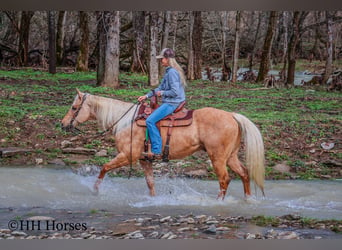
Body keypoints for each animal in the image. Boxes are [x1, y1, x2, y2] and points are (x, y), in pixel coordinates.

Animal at [60, 89, 264, 199]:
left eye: (74, 107)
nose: (63, 124)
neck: (126, 121)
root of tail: (232, 116)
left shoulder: (127, 156)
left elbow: (104, 168)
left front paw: (95, 190)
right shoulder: (144, 160)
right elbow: (150, 183)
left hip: (218, 158)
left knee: (224, 179)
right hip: (231, 157)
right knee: (244, 174)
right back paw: (248, 200)